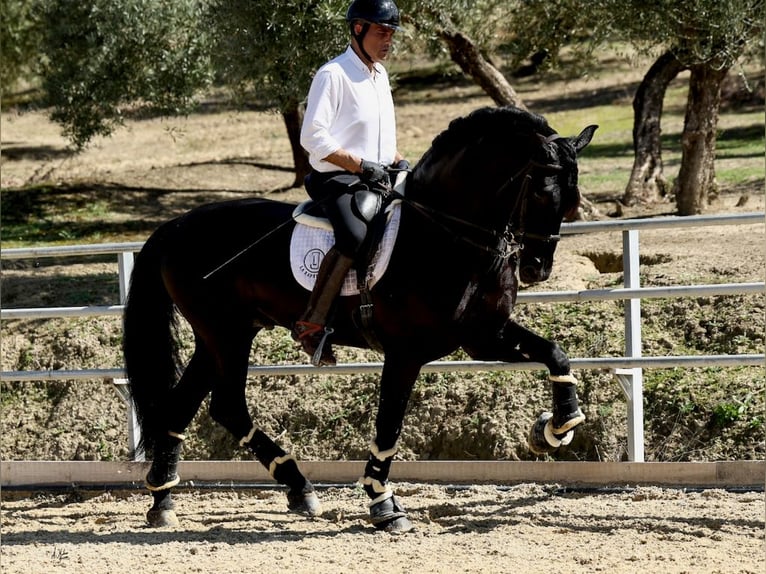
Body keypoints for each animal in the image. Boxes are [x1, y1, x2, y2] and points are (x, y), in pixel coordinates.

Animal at [123, 106, 596, 532]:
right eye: (541, 192)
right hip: (226, 334)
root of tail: (175, 225)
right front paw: (384, 505)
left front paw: (557, 427)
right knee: (227, 405)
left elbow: (555, 353)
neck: (444, 236)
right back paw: (292, 486)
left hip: (221, 335)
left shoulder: (483, 336)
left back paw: (168, 499)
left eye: (572, 199)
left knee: (185, 407)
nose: (537, 269)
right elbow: (389, 426)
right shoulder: (406, 353)